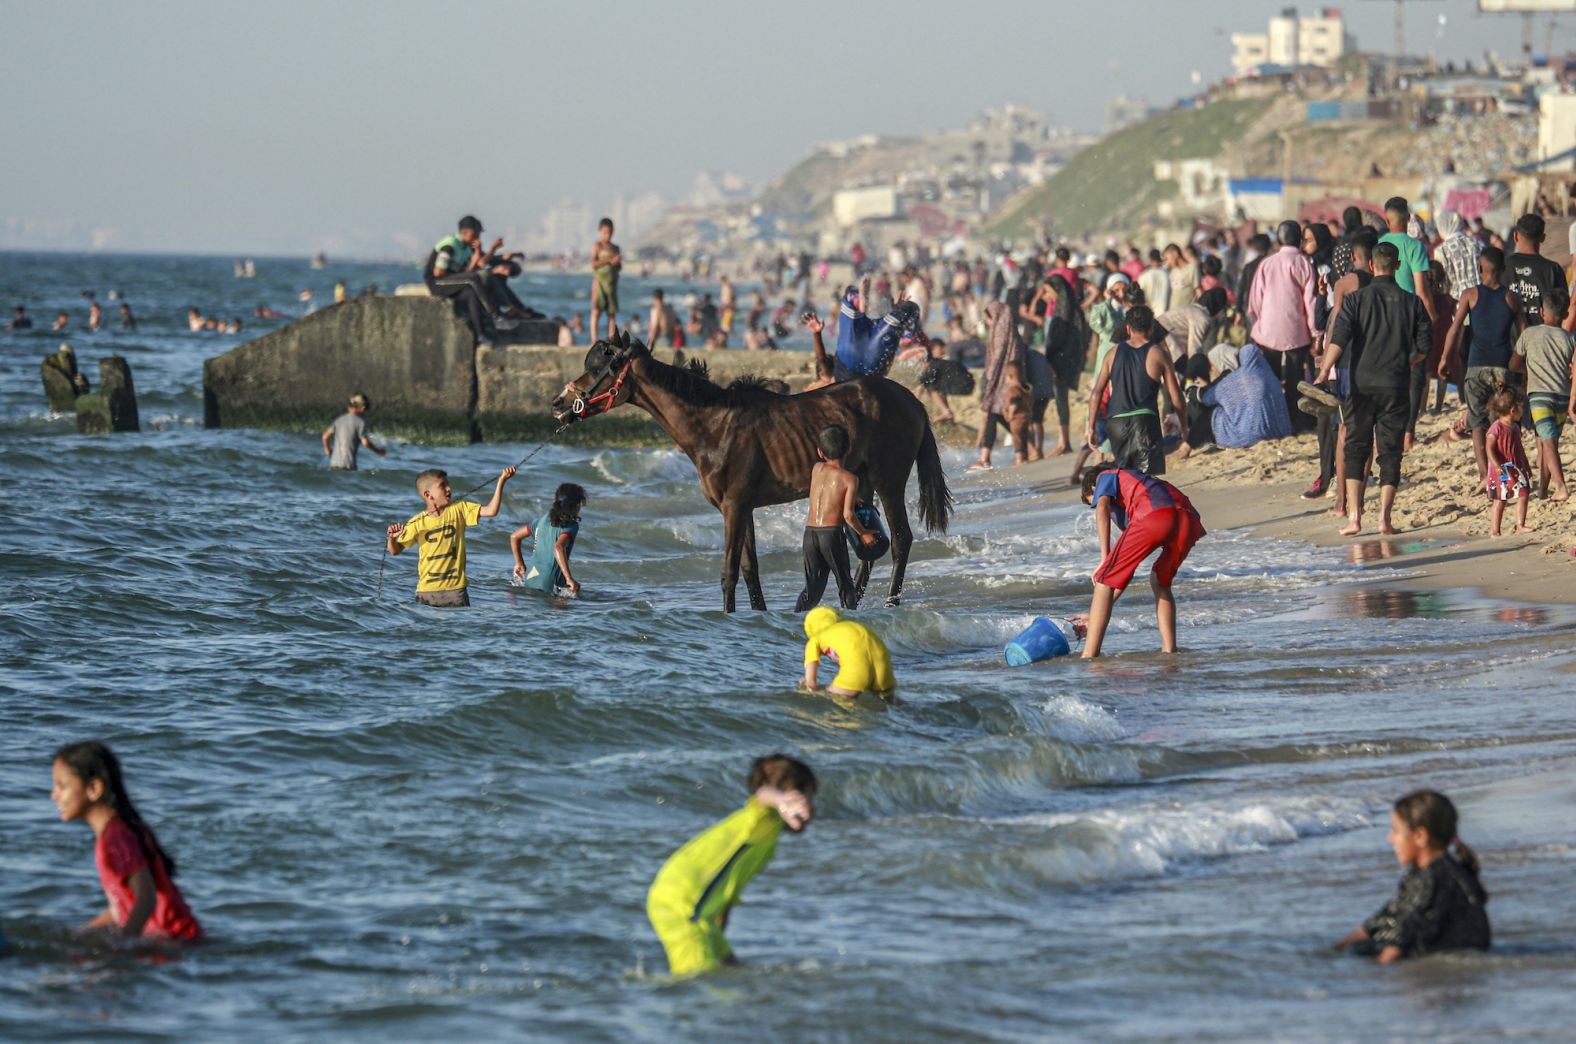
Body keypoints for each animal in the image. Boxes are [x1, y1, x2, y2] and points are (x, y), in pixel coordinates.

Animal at [554, 332, 945, 615]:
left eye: (599, 366)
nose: (559, 404)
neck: (714, 425)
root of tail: (913, 401)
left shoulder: (734, 507)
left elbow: (729, 571)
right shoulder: (742, 509)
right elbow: (749, 569)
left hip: (889, 482)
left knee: (900, 540)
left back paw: (890, 602)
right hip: (861, 485)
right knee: (869, 546)